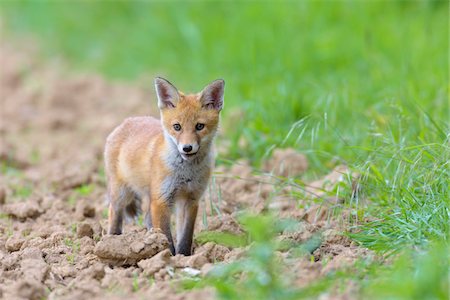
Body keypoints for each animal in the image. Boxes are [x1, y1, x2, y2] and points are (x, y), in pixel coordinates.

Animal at [105, 77, 225, 255]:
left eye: (199, 126)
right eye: (177, 127)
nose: (187, 148)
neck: (186, 173)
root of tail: (128, 120)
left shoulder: (191, 199)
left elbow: (185, 236)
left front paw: (183, 256)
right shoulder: (161, 200)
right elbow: (167, 236)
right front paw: (167, 255)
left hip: (149, 195)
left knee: (147, 218)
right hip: (122, 193)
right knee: (114, 212)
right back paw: (112, 239)